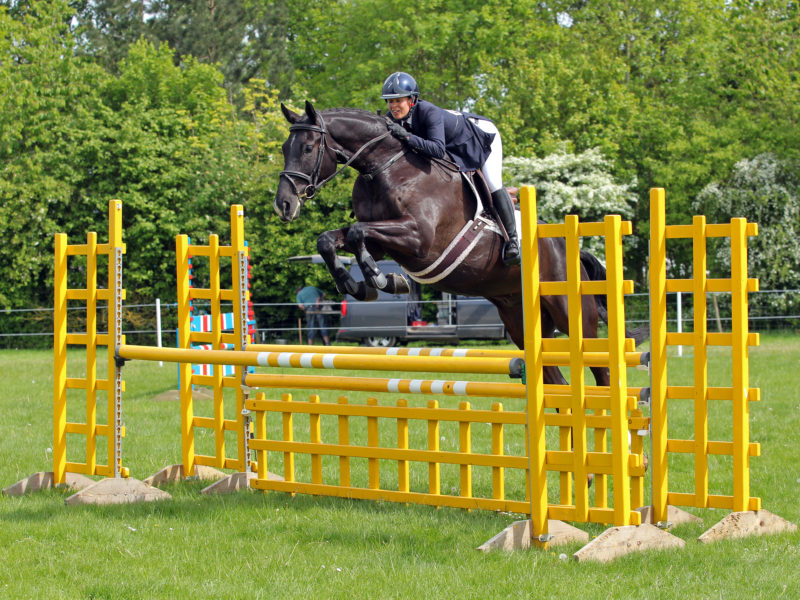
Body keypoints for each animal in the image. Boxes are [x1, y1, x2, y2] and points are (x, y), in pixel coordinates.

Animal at [276, 100, 648, 386]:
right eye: (283, 149)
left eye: (307, 148)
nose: (284, 205)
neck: (383, 167)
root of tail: (567, 246)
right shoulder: (386, 240)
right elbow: (332, 239)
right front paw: (362, 284)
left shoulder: (419, 238)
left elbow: (356, 233)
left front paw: (381, 279)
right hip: (519, 319)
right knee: (555, 381)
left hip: (571, 313)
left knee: (601, 370)